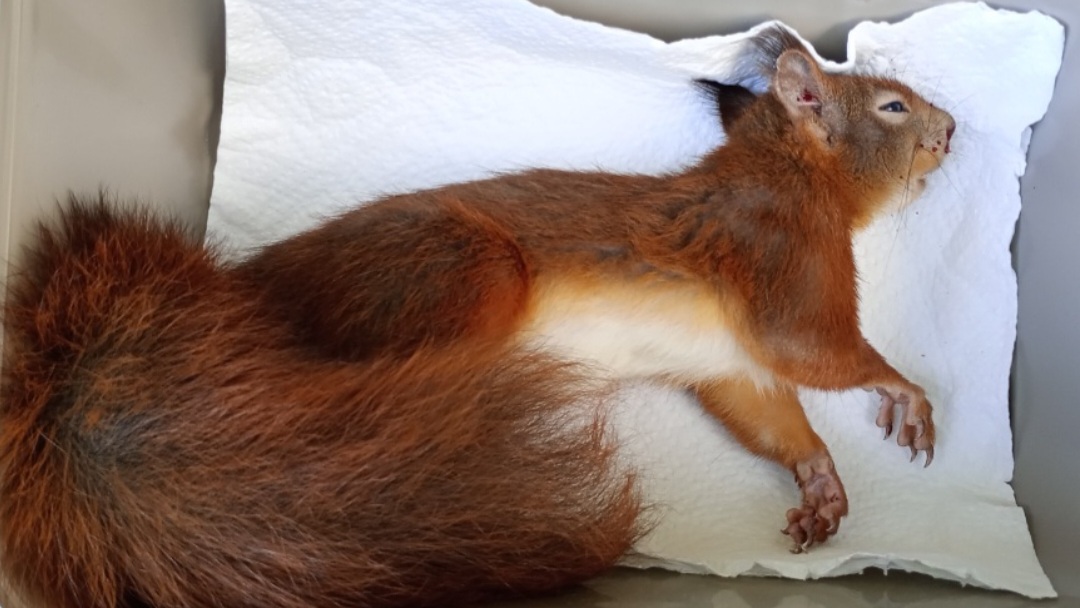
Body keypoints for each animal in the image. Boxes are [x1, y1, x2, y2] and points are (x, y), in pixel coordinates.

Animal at [0, 27, 955, 608]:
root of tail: (238, 307)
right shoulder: (781, 255)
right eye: (892, 106)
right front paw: (906, 391)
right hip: (460, 274)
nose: (954, 129)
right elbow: (819, 351)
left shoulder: (724, 362)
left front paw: (820, 481)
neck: (789, 173)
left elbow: (770, 409)